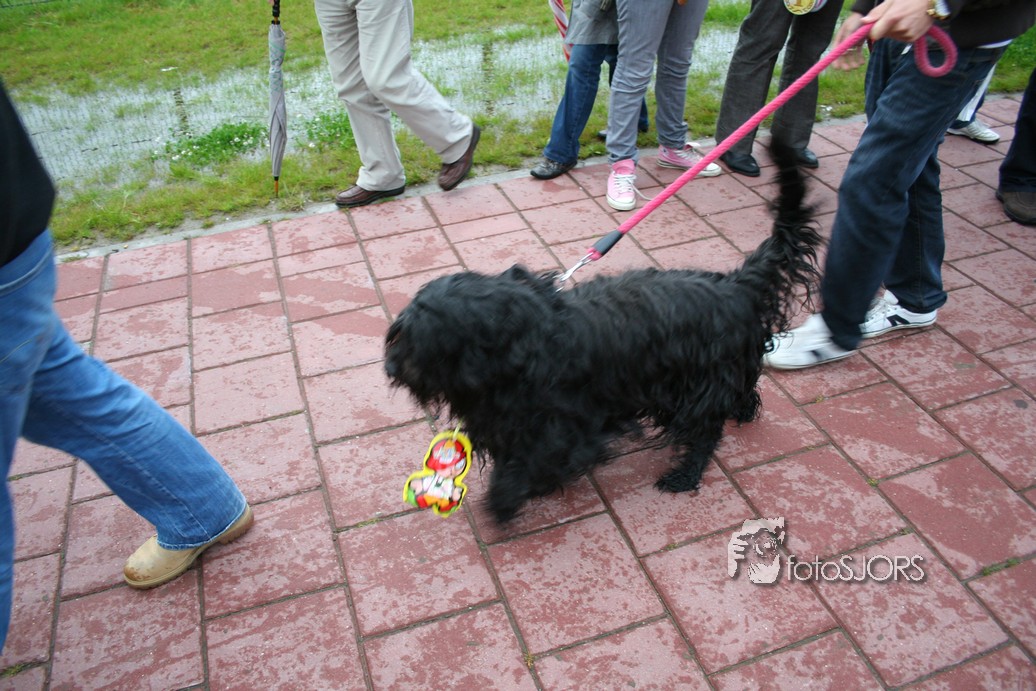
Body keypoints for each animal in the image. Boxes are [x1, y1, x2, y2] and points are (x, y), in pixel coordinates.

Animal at [385, 142, 822, 524]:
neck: (520, 342)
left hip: (696, 385)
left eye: (419, 342)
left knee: (705, 432)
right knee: (741, 392)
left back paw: (684, 474)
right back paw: (742, 410)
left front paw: (505, 499)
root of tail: (735, 285)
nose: (391, 369)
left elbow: (538, 459)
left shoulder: (563, 422)